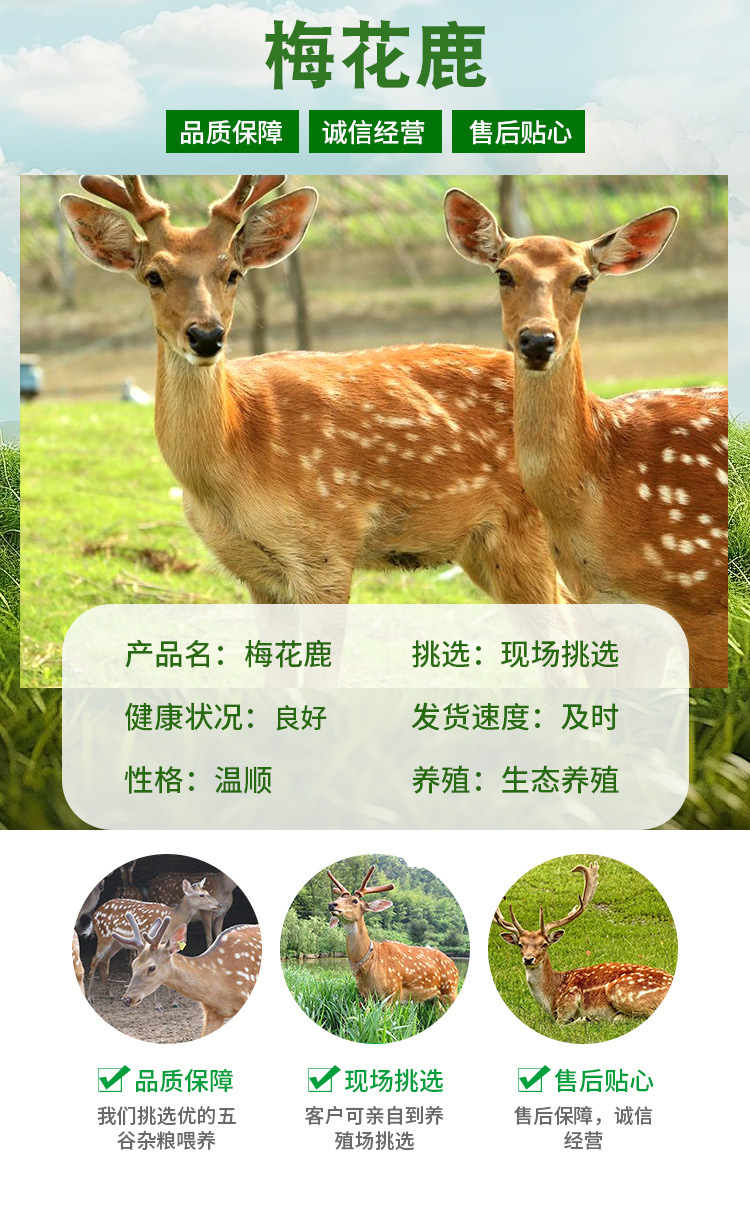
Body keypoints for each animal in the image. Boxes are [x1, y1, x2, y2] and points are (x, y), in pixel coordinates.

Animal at [59, 174, 564, 607]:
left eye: (233, 272)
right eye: (153, 276)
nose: (206, 335)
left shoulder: (327, 546)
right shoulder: (256, 571)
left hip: (527, 531)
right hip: (483, 548)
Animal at [84, 879, 219, 1005]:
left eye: (207, 892)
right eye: (201, 895)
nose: (219, 905)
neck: (173, 920)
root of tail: (95, 914)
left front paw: (173, 1001)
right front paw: (157, 1004)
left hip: (116, 943)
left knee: (103, 961)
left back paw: (110, 994)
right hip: (104, 936)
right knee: (94, 960)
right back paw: (90, 997)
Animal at [327, 865, 459, 1008]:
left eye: (355, 901)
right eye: (338, 899)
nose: (332, 904)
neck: (370, 963)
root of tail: (454, 966)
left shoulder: (392, 991)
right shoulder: (366, 995)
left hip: (450, 989)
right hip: (434, 998)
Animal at [493, 862, 673, 1023]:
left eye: (544, 944)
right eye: (520, 944)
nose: (528, 959)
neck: (551, 996)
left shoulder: (568, 1000)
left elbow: (559, 1024)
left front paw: (583, 1019)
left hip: (620, 991)